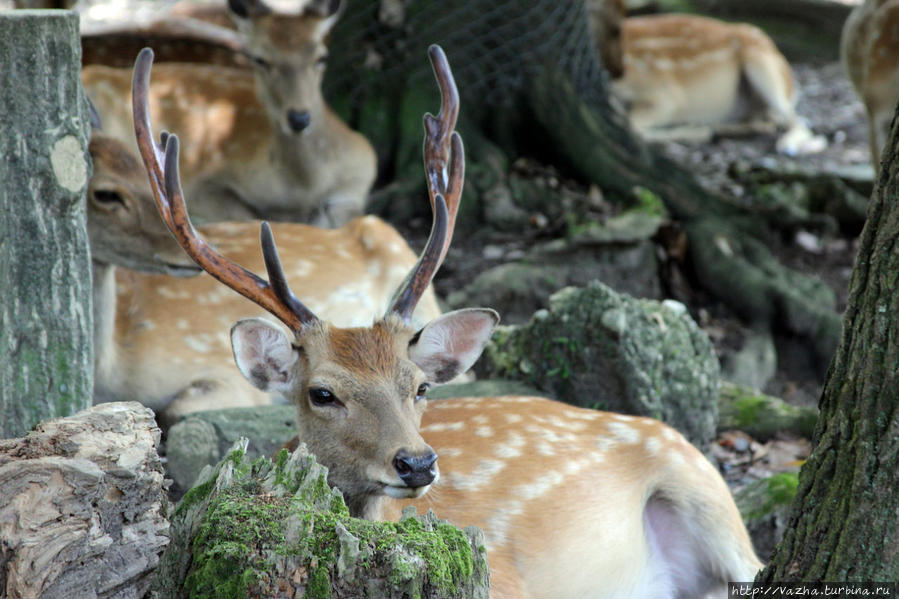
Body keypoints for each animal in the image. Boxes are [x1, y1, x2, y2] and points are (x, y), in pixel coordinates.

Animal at [82, 0, 374, 226]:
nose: (299, 118)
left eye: (321, 57)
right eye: (260, 58)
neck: (302, 188)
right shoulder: (204, 182)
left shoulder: (357, 185)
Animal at [592, 0, 828, 157]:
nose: (618, 71)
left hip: (763, 64)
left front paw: (694, 132)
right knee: (766, 121)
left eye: (617, 28)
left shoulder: (664, 91)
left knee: (797, 121)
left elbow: (632, 125)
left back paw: (786, 145)